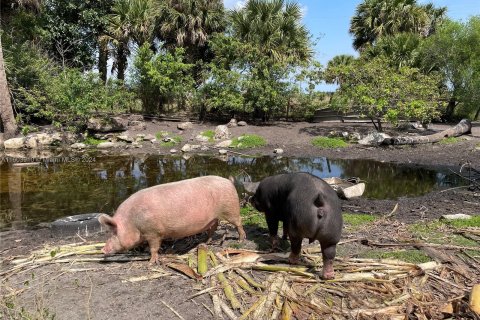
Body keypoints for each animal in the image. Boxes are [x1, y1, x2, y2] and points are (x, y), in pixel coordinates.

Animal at [99, 175, 246, 262]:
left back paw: (240, 240)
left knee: (238, 223)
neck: (132, 221)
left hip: (231, 208)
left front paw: (151, 263)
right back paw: (206, 242)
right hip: (214, 218)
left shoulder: (154, 232)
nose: (103, 249)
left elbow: (154, 248)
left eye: (113, 233)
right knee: (213, 227)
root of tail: (229, 181)